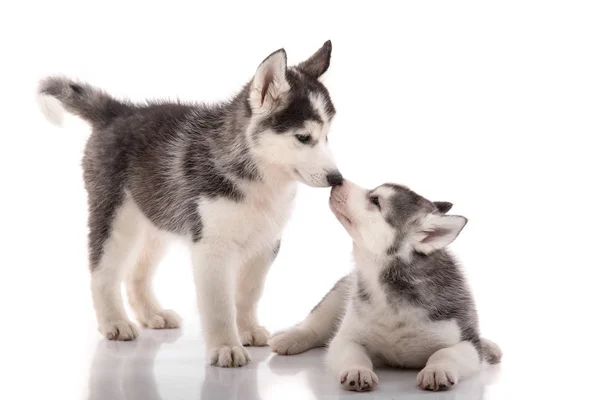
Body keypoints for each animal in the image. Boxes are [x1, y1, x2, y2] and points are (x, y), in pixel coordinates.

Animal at [37, 39, 342, 366]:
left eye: (327, 136)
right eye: (303, 137)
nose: (337, 178)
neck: (259, 177)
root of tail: (119, 111)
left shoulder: (266, 243)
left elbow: (248, 292)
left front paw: (247, 329)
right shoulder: (211, 246)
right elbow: (219, 304)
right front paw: (226, 346)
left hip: (158, 218)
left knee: (136, 272)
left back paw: (152, 314)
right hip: (117, 219)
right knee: (102, 272)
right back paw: (114, 322)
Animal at [270, 180, 502, 390]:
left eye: (375, 200)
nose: (337, 180)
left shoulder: (465, 341)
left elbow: (446, 352)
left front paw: (437, 370)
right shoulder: (347, 337)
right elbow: (352, 352)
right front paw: (358, 370)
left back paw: (489, 347)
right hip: (339, 293)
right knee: (314, 325)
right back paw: (291, 337)